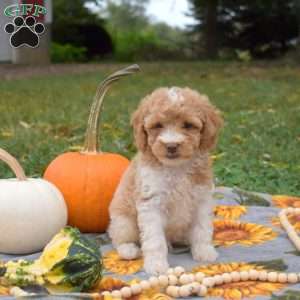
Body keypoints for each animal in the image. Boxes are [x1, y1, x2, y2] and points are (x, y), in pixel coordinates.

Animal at [108, 86, 223, 274]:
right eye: (157, 126)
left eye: (188, 125)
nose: (171, 146)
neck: (176, 167)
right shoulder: (151, 203)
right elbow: (155, 240)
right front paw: (156, 265)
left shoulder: (202, 199)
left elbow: (202, 229)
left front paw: (204, 251)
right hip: (123, 221)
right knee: (118, 237)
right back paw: (128, 250)